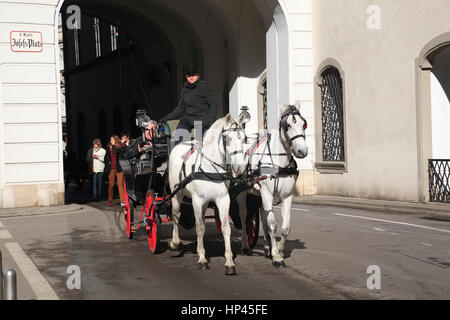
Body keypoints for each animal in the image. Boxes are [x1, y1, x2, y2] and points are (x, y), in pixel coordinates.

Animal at [168, 113, 246, 276]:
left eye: (244, 138)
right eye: (227, 139)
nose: (240, 168)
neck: (210, 167)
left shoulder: (223, 199)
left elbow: (225, 228)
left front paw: (229, 262)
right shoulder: (197, 201)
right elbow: (200, 228)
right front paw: (202, 258)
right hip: (176, 194)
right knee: (176, 215)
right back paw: (175, 243)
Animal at [237, 104, 308, 268]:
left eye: (304, 124)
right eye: (287, 125)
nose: (302, 151)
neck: (278, 163)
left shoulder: (286, 196)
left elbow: (285, 227)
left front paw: (278, 249)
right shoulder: (266, 193)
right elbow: (272, 224)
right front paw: (277, 257)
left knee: (263, 216)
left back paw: (267, 246)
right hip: (243, 193)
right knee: (244, 216)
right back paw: (245, 246)